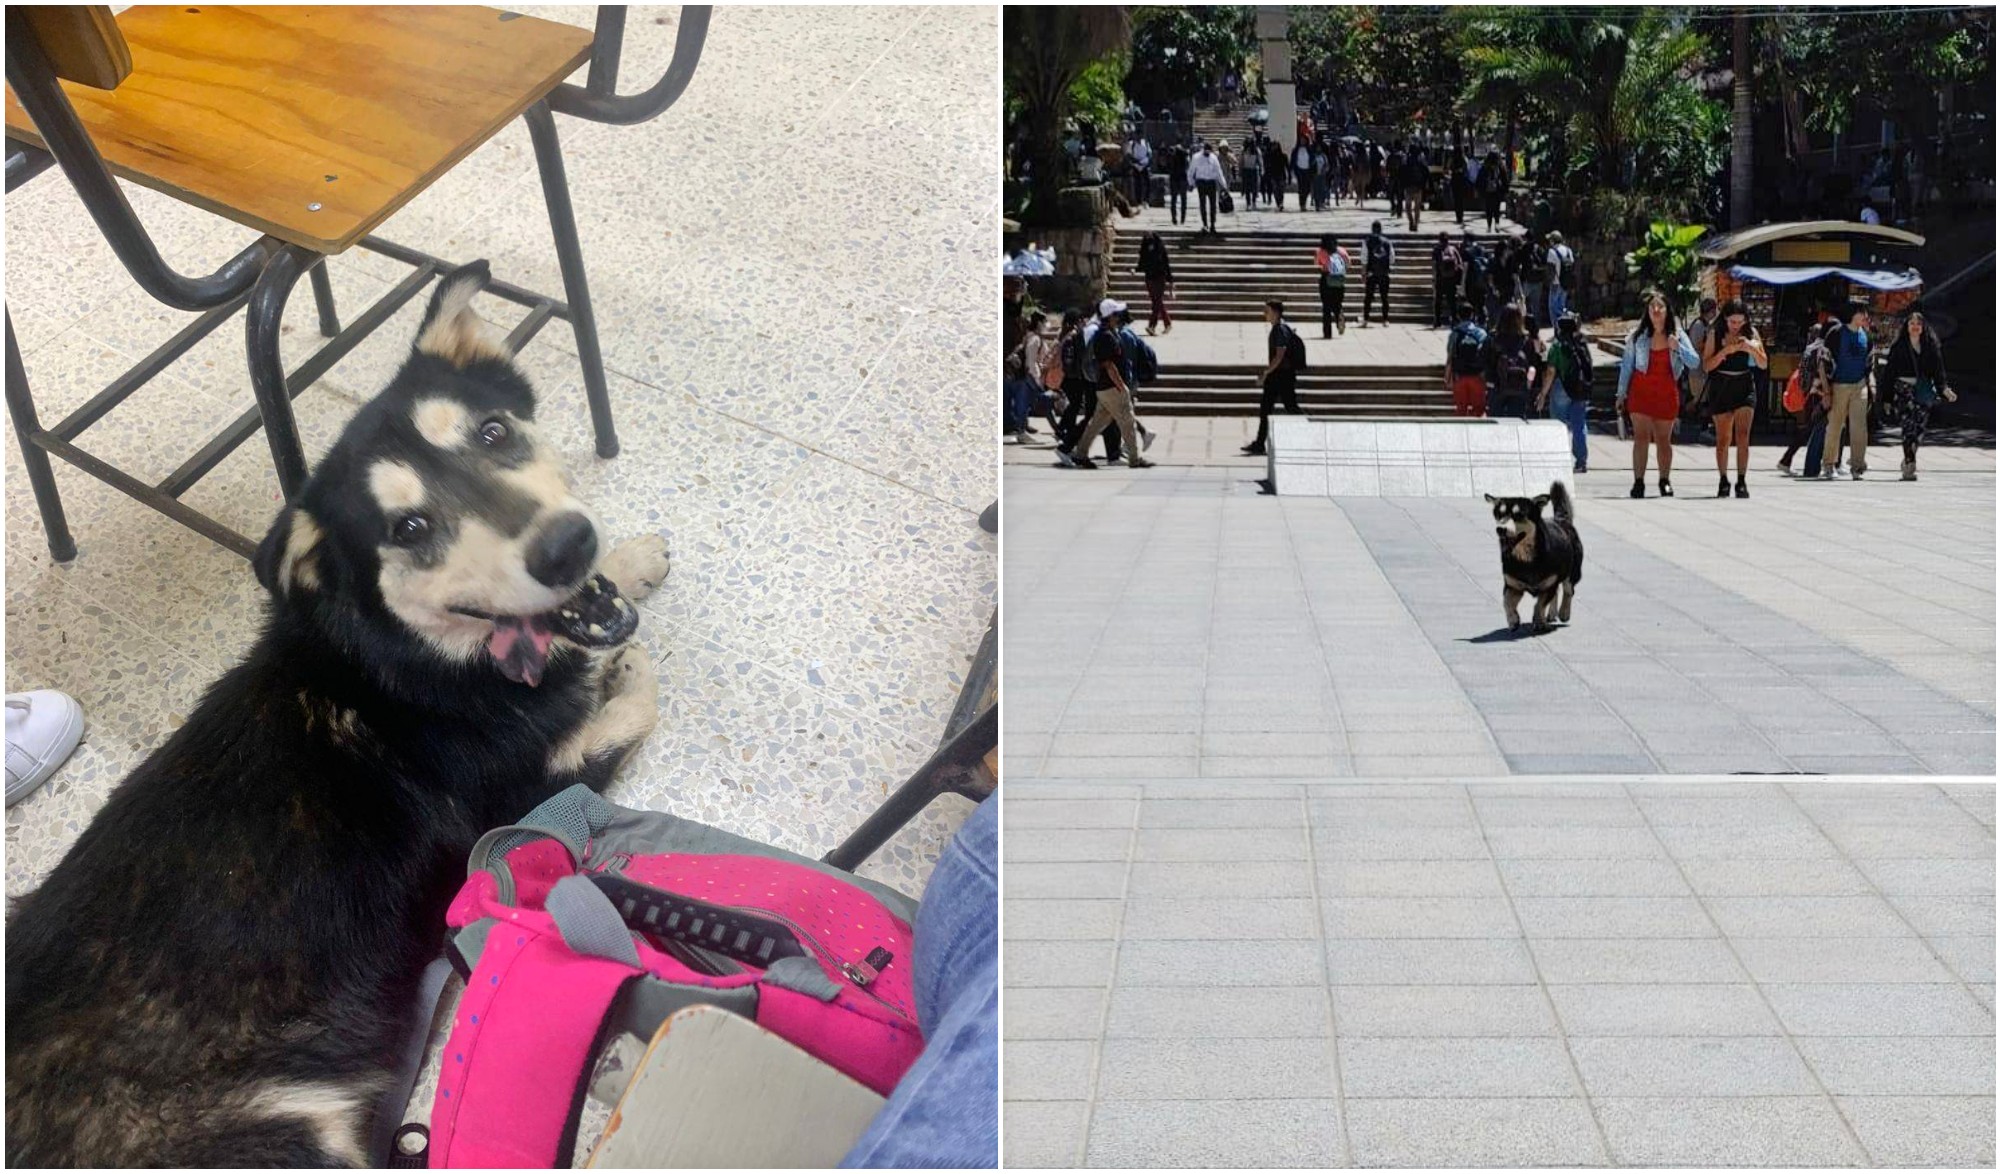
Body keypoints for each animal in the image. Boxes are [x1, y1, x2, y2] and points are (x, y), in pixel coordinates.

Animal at [1, 264, 680, 1168]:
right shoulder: (524, 801)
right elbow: (634, 704)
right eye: (410, 527)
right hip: (285, 1137)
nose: (566, 545)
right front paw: (630, 662)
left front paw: (630, 559)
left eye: (495, 432)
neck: (410, 660)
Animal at [1488, 482, 1576, 640]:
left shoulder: (1549, 584)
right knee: (1557, 592)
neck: (1526, 558)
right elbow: (1506, 602)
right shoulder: (1513, 585)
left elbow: (1539, 604)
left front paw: (1538, 622)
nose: (1500, 529)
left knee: (1568, 589)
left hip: (1571, 571)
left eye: (1519, 515)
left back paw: (1564, 612)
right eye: (1499, 515)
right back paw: (1551, 614)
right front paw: (1513, 621)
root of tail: (1561, 520)